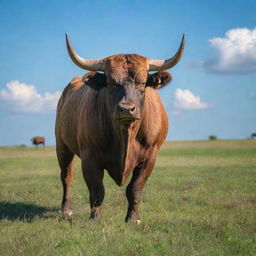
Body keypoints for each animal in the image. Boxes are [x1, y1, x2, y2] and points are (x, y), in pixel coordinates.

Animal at [55, 33, 185, 223]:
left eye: (143, 82)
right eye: (110, 82)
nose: (126, 108)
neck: (125, 135)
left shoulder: (150, 156)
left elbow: (135, 189)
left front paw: (133, 218)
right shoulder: (89, 156)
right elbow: (97, 190)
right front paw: (96, 218)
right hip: (62, 145)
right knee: (66, 176)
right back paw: (66, 208)